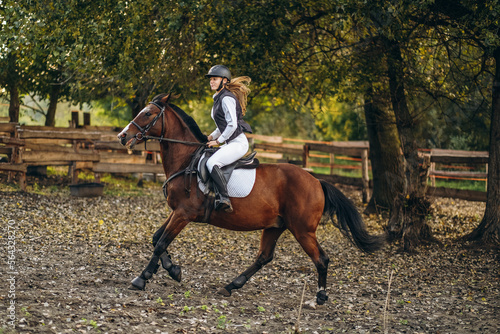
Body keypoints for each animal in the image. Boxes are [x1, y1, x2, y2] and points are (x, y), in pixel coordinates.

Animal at [118, 92, 386, 304]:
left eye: (147, 113)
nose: (122, 136)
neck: (187, 162)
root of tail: (316, 181)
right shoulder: (177, 212)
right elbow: (156, 239)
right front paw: (173, 270)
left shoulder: (184, 214)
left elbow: (161, 242)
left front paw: (141, 279)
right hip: (276, 226)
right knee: (264, 257)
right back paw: (231, 285)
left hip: (302, 230)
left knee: (321, 258)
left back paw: (320, 297)